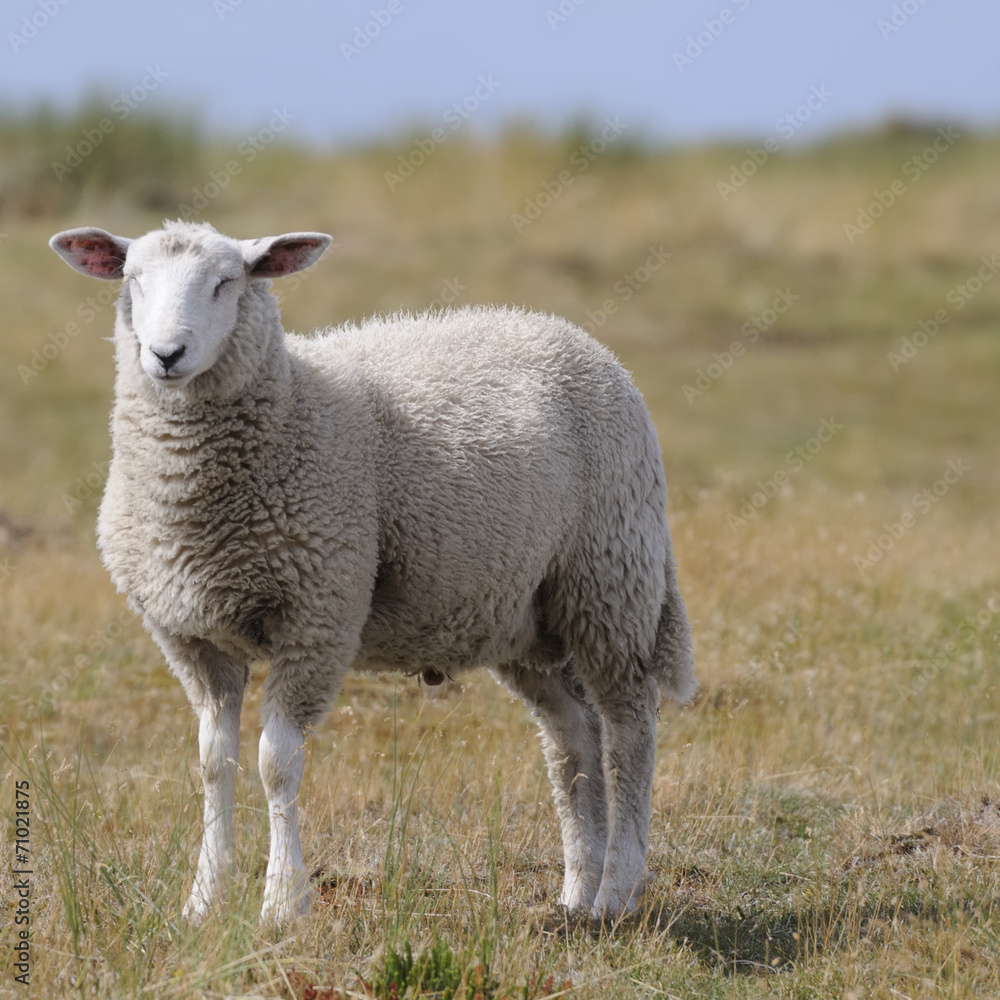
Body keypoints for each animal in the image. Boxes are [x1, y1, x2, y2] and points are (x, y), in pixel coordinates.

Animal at [48, 219, 696, 927]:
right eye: (133, 279)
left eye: (228, 281)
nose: (167, 354)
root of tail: (573, 335)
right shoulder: (191, 639)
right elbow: (213, 764)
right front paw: (203, 902)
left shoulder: (318, 613)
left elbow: (277, 763)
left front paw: (283, 902)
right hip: (522, 613)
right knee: (572, 735)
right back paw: (577, 895)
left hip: (611, 580)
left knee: (630, 729)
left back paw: (619, 890)